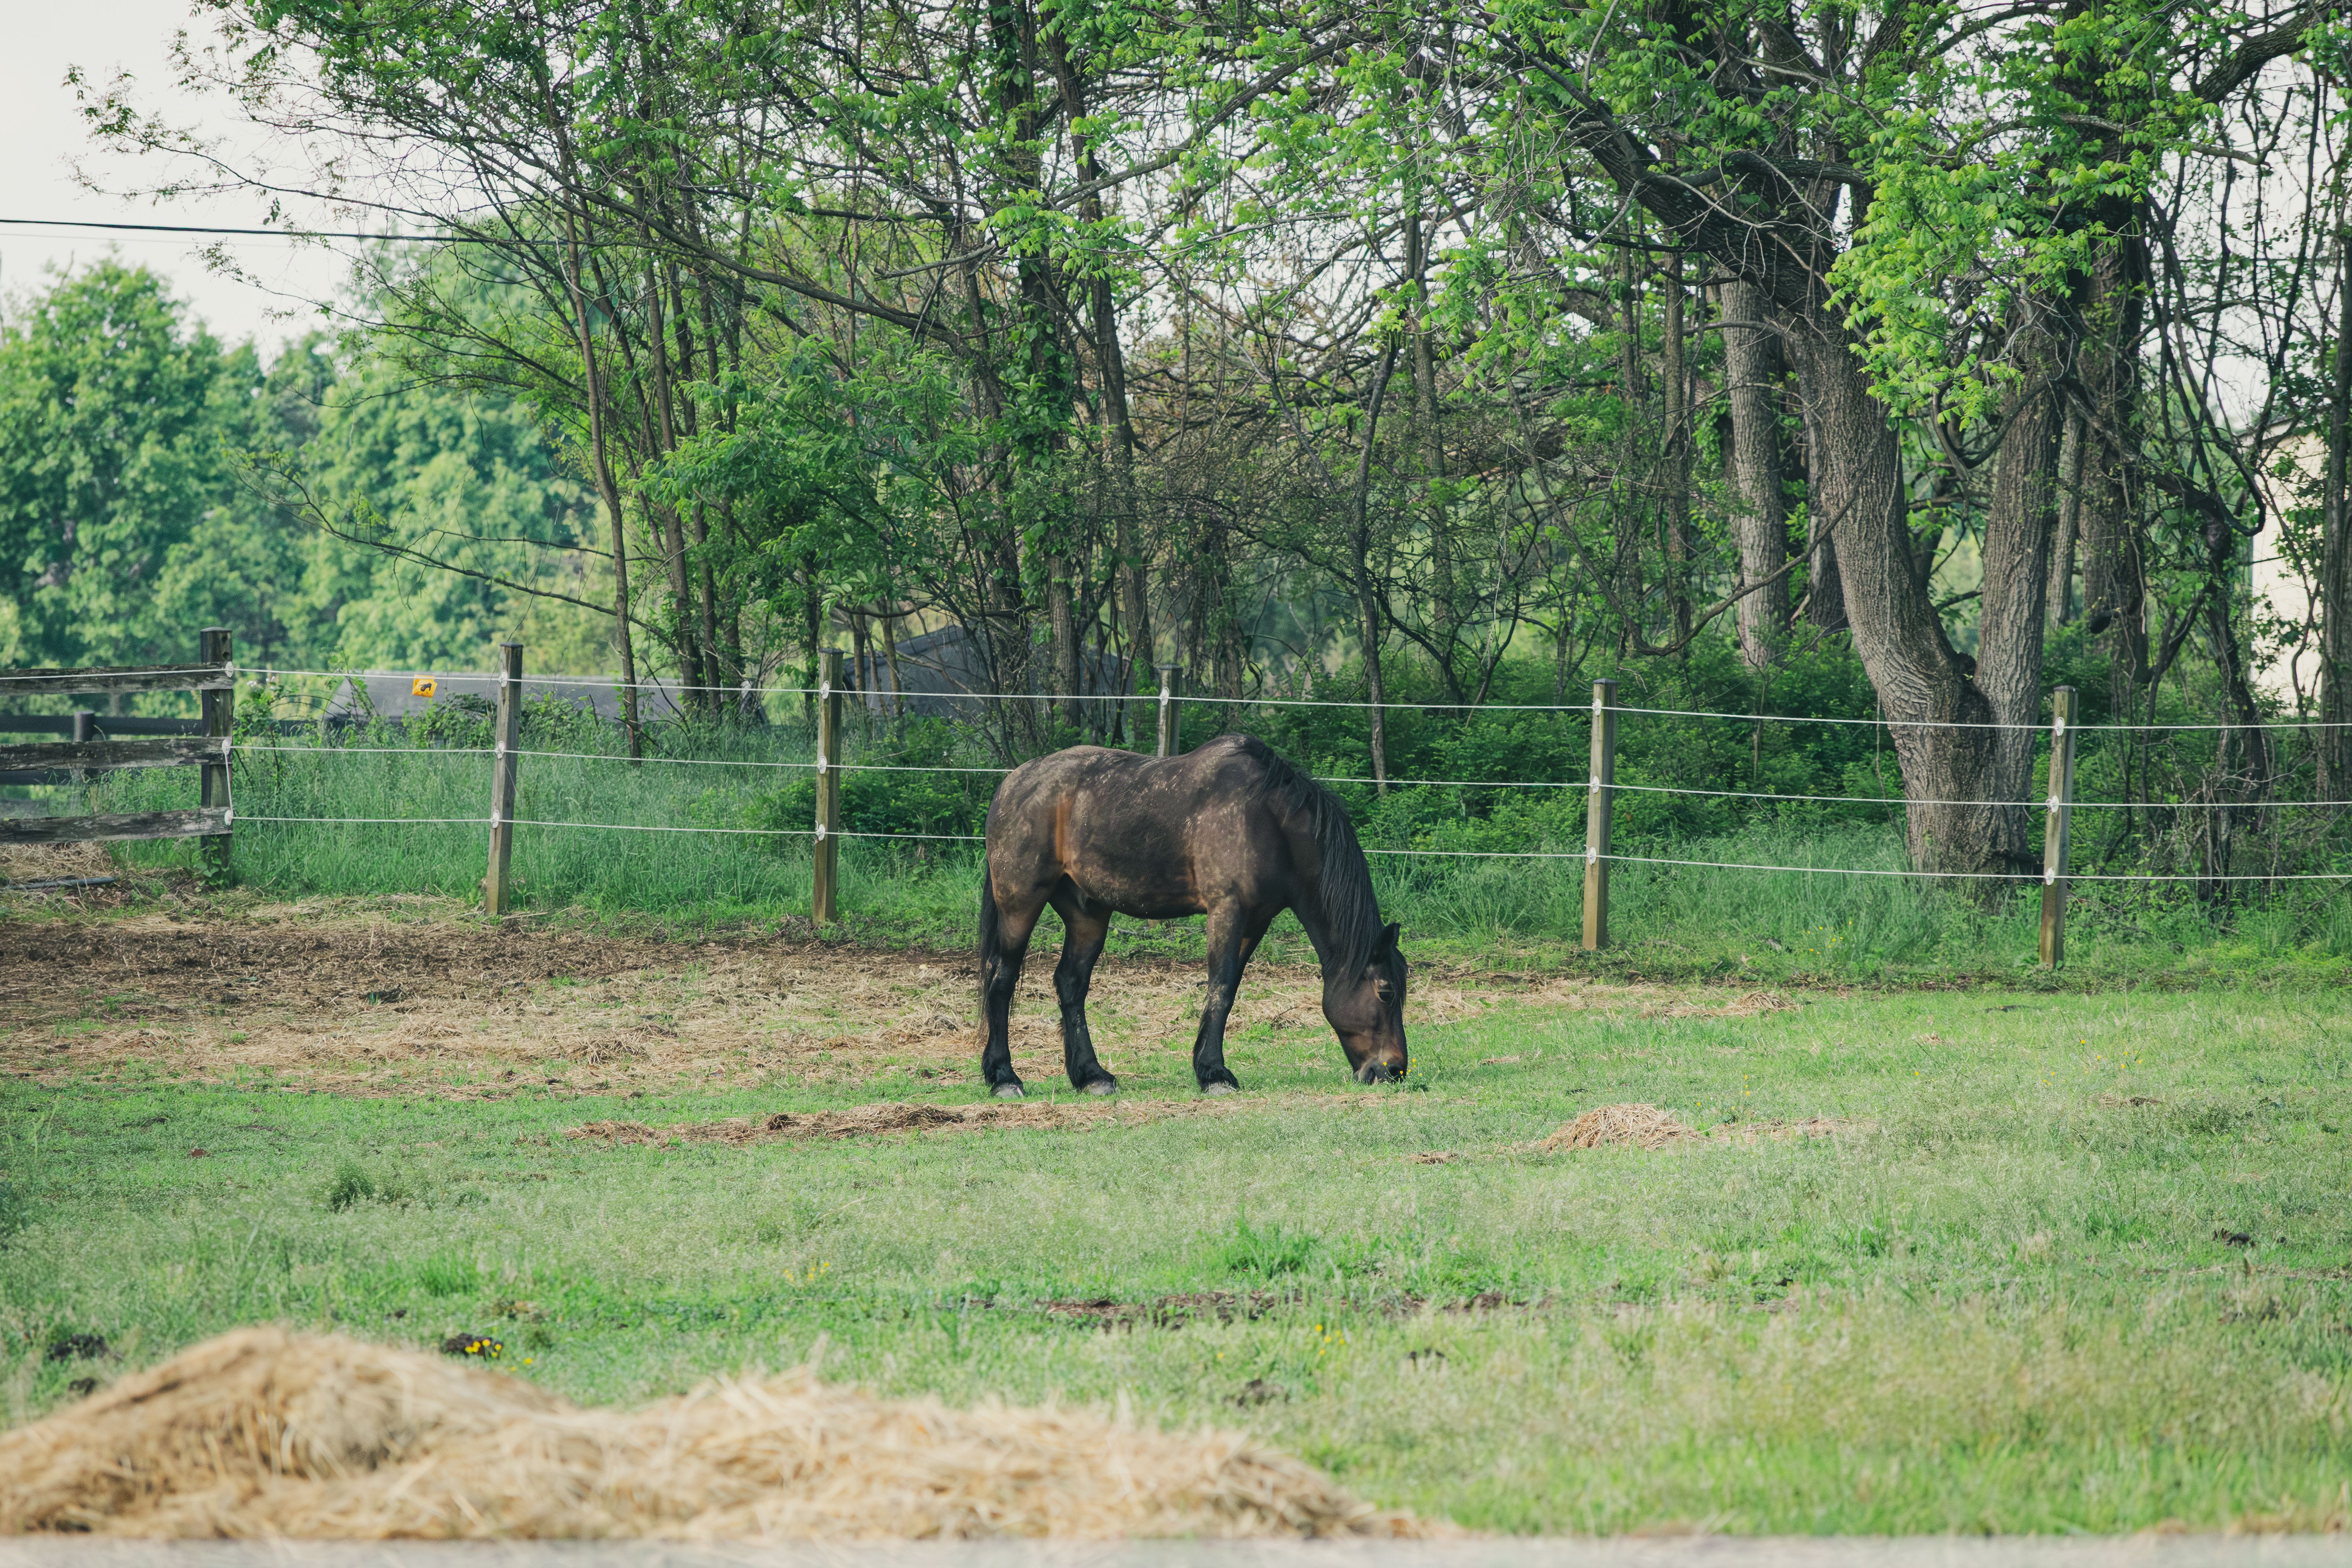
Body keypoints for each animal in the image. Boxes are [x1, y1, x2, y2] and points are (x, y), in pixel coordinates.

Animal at [977, 733, 1408, 1097]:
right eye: (1385, 992)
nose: (1394, 1071)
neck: (1268, 818)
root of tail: (1010, 786)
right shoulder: (1227, 910)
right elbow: (1220, 987)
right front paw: (1215, 1073)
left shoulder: (1256, 919)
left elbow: (1228, 990)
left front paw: (1207, 1066)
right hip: (1021, 903)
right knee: (1001, 978)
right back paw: (1005, 1078)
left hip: (1088, 914)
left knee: (1071, 984)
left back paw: (1091, 1076)